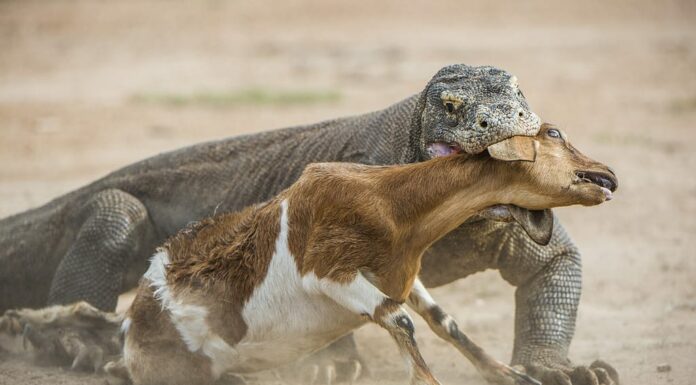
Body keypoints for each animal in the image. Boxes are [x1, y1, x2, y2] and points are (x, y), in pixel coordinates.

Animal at [117, 124, 616, 384]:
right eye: (554, 132)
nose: (607, 173)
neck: (390, 202)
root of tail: (136, 316)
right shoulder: (328, 272)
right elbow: (400, 320)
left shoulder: (403, 276)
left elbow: (443, 322)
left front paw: (509, 374)